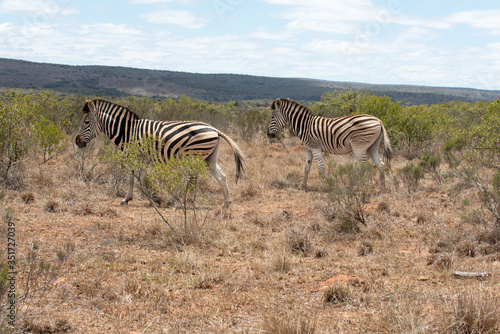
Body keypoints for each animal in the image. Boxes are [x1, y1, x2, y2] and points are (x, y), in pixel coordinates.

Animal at [75, 99, 244, 207]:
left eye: (86, 122)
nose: (77, 141)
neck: (127, 131)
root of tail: (214, 129)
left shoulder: (137, 156)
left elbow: (137, 180)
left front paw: (152, 199)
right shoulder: (137, 158)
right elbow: (134, 179)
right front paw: (130, 199)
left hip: (193, 155)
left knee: (190, 178)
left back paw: (173, 200)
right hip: (208, 157)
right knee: (221, 176)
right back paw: (226, 203)